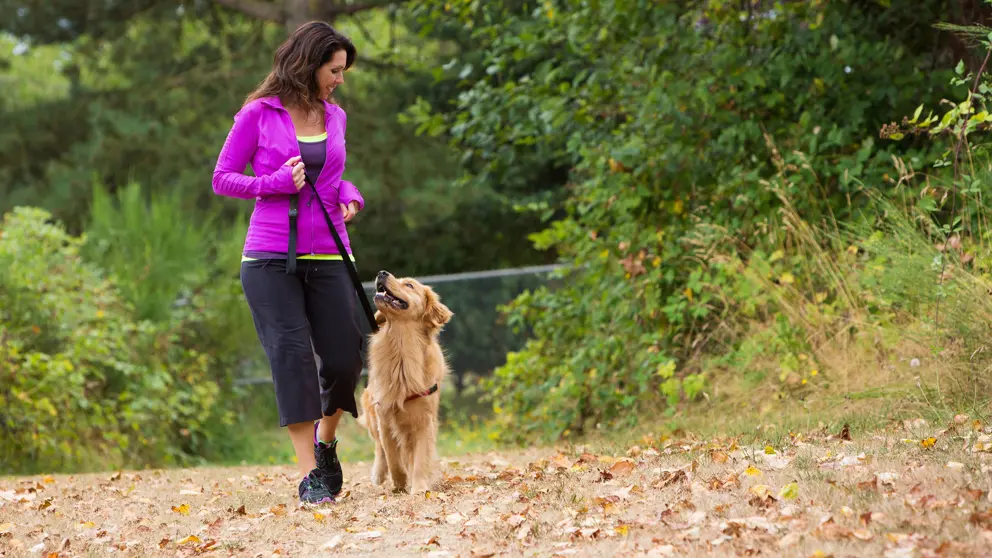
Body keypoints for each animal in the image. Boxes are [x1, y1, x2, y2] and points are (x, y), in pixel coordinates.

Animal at [358, 272, 456, 494]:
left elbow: (419, 458)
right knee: (380, 448)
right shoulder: (384, 414)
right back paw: (379, 473)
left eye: (409, 285)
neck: (401, 346)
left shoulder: (424, 420)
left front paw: (418, 487)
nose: (382, 273)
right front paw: (400, 482)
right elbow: (392, 456)